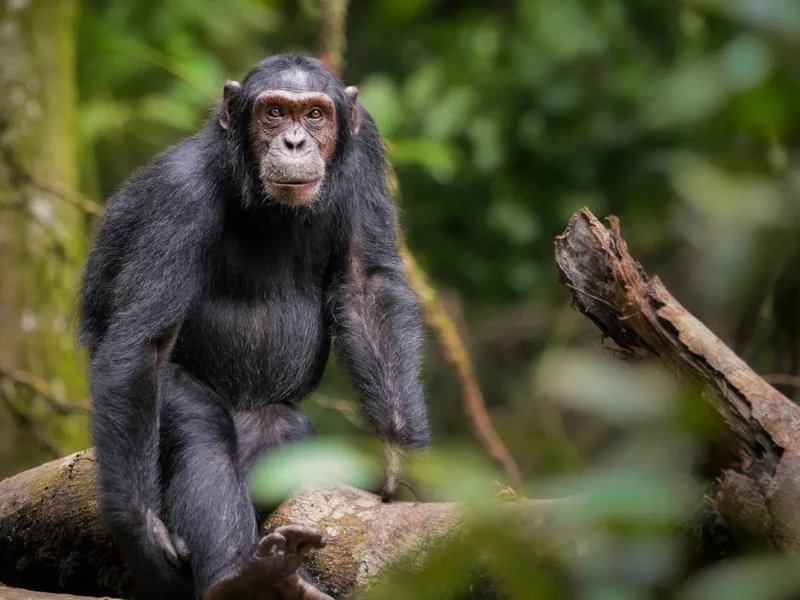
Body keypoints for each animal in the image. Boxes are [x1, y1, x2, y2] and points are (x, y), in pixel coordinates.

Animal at [79, 54, 432, 596]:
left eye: (315, 114)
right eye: (273, 112)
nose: (294, 142)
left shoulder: (367, 148)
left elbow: (366, 285)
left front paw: (400, 464)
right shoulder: (180, 197)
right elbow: (143, 345)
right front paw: (143, 532)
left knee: (279, 428)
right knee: (200, 427)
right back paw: (239, 576)